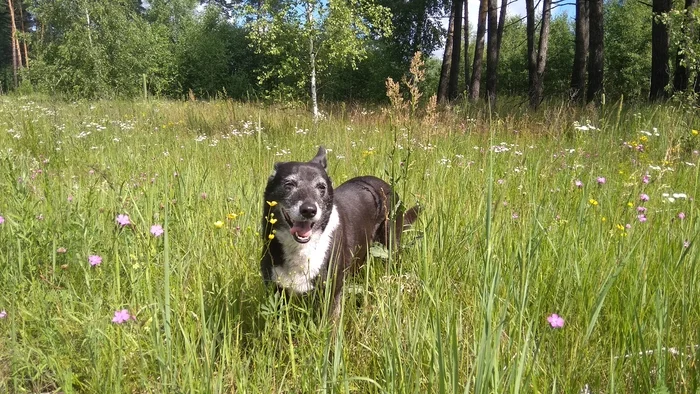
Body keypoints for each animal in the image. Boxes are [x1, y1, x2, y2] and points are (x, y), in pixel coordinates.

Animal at [260, 146, 418, 318]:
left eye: (321, 187)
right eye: (289, 184)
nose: (309, 210)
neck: (302, 248)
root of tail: (386, 185)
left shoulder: (331, 294)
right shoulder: (276, 291)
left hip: (391, 247)